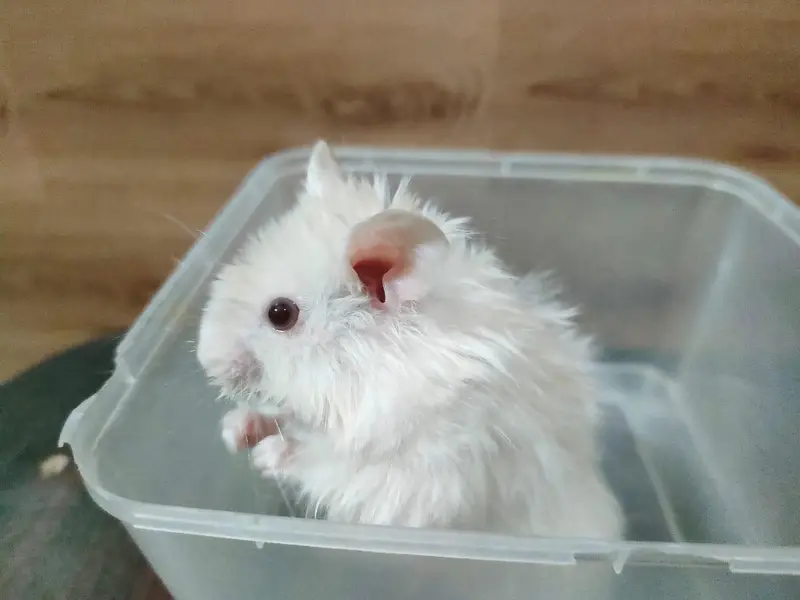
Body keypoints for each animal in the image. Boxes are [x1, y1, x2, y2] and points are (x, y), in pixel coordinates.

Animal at [197, 140, 624, 540]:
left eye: (281, 313)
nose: (204, 361)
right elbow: (287, 416)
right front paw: (234, 431)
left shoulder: (410, 475)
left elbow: (323, 464)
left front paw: (265, 456)